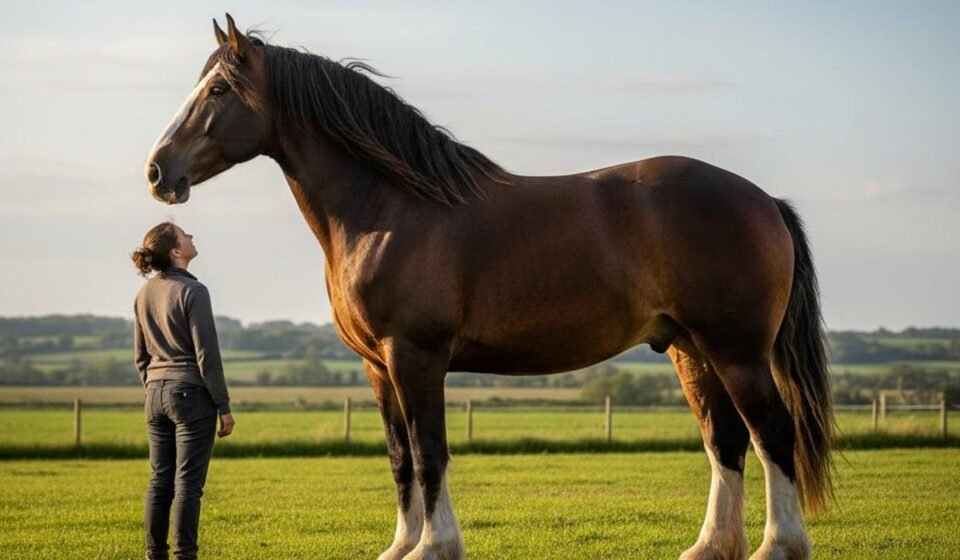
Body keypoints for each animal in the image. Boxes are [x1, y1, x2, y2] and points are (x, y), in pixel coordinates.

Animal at [145, 14, 833, 560]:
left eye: (217, 89)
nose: (157, 171)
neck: (389, 207)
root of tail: (763, 200)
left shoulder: (415, 357)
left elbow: (429, 453)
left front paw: (435, 548)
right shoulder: (376, 367)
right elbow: (399, 458)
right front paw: (400, 546)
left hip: (737, 352)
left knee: (772, 435)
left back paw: (779, 547)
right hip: (692, 350)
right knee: (726, 442)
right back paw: (711, 547)